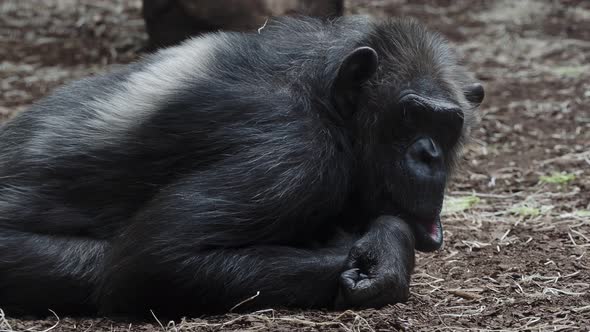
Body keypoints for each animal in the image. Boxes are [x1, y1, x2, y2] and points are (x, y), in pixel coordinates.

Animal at [0, 14, 486, 316]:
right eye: (410, 116)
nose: (428, 154)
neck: (330, 107)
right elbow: (157, 258)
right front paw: (387, 249)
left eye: (446, 124)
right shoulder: (293, 155)